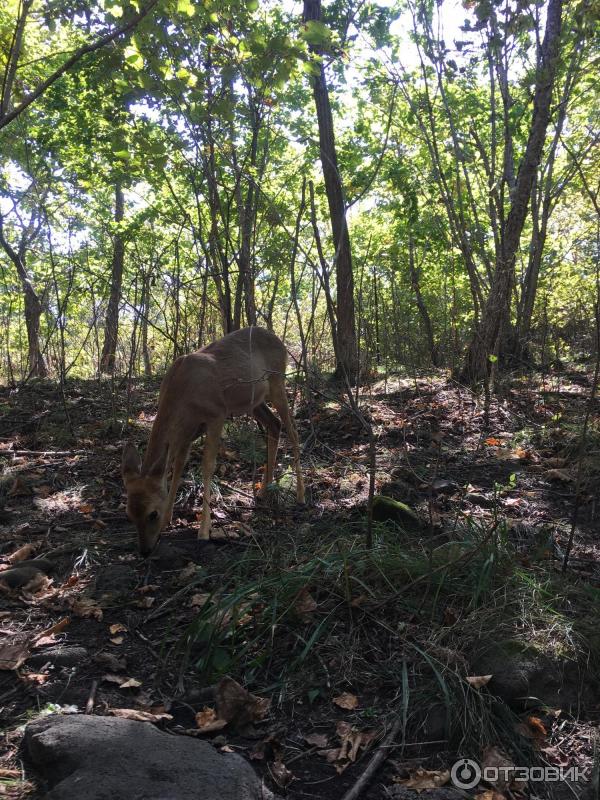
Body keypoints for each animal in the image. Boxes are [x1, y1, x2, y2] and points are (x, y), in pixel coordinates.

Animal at [121, 324, 304, 556]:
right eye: (129, 515)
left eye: (152, 513)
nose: (145, 551)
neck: (181, 391)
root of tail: (279, 340)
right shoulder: (189, 428)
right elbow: (178, 465)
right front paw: (169, 518)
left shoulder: (217, 414)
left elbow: (207, 465)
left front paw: (204, 530)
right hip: (254, 400)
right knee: (274, 425)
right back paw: (264, 491)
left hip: (277, 381)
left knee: (293, 430)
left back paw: (301, 496)